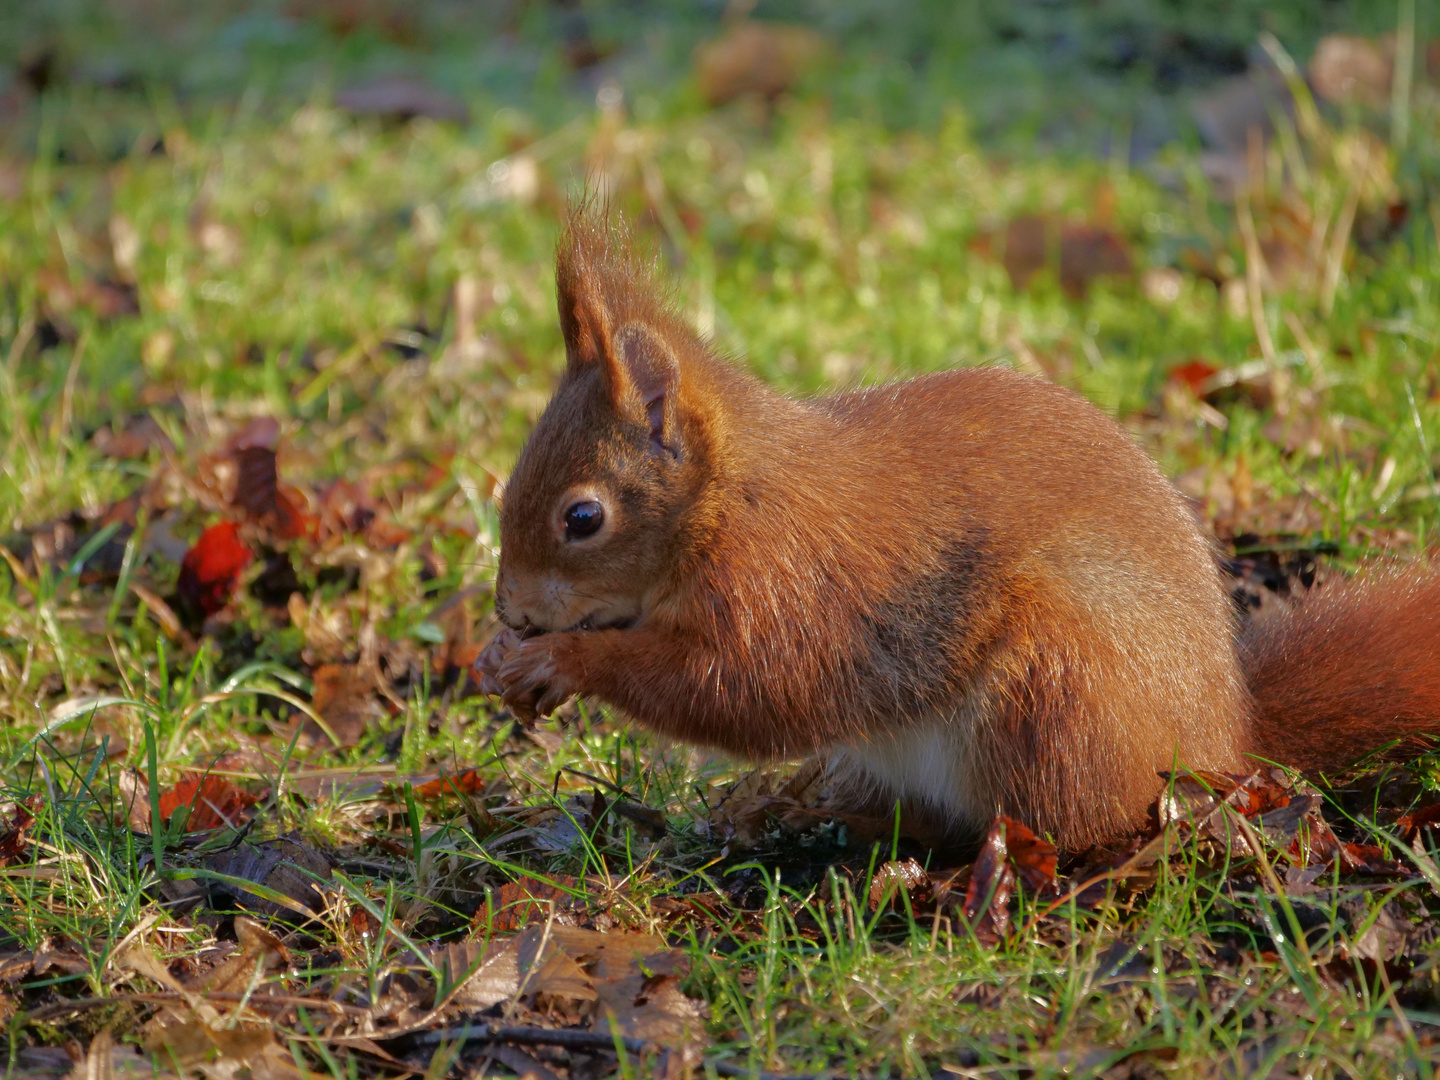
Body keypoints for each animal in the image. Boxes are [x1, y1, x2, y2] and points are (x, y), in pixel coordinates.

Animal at [478, 204, 1440, 852]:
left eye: (583, 517)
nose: (512, 611)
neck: (732, 501)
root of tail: (1219, 739)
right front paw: (501, 659)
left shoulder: (786, 586)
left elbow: (736, 687)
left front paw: (560, 662)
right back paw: (799, 804)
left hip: (1056, 688)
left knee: (1063, 822)